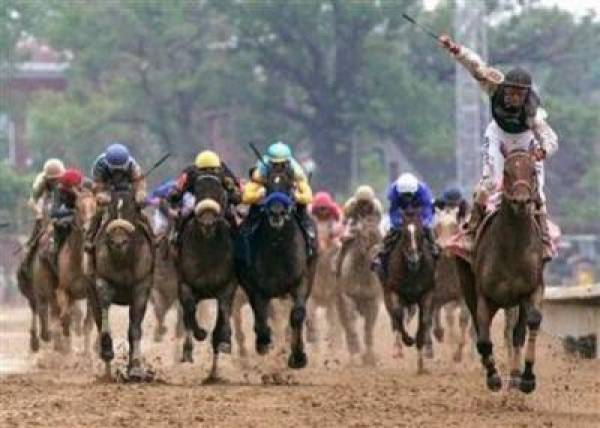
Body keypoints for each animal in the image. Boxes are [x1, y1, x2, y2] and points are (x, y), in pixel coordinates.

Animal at [338, 217, 380, 364]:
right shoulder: (347, 297)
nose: (377, 259)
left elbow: (368, 328)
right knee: (346, 326)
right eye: (364, 237)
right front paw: (356, 355)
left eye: (381, 236)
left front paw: (370, 357)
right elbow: (351, 324)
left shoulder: (373, 300)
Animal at [384, 209, 436, 372]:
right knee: (396, 318)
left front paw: (421, 363)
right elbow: (397, 315)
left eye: (421, 234)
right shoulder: (394, 291)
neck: (412, 272)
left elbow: (424, 320)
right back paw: (398, 348)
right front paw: (408, 340)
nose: (414, 259)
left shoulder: (427, 293)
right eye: (405, 235)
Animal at [464, 149, 548, 392]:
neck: (512, 248)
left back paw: (515, 376)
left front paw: (527, 378)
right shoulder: (484, 295)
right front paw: (493, 377)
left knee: (517, 334)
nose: (521, 201)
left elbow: (532, 322)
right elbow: (483, 339)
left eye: (533, 171)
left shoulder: (533, 288)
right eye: (506, 172)